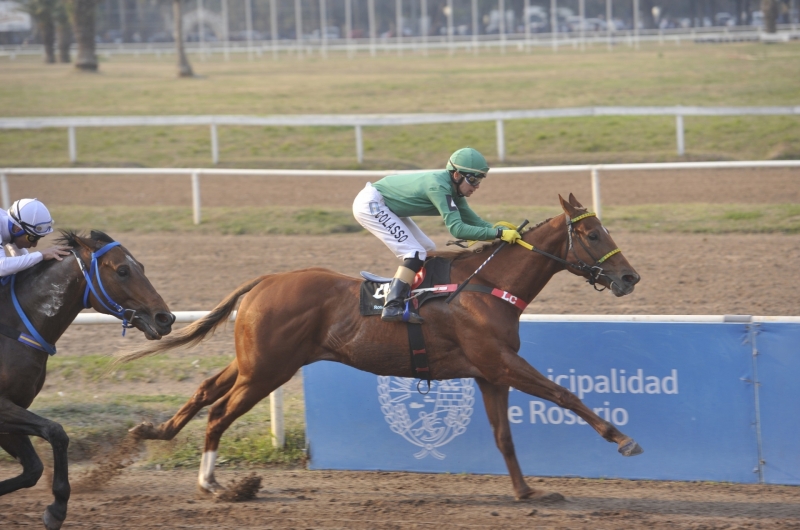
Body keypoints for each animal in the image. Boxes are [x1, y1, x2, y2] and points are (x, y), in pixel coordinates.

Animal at [0, 230, 174, 528]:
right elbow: (56, 432)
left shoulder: (11, 410)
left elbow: (34, 468)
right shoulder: (3, 408)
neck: (14, 328)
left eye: (141, 266)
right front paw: (57, 508)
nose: (165, 318)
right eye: (123, 270)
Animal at [120, 192, 644, 498]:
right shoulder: (501, 361)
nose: (630, 278)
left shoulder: (489, 373)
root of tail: (265, 280)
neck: (486, 286)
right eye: (593, 233)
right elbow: (564, 393)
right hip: (268, 369)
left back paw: (153, 431)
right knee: (219, 412)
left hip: (254, 361)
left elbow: (504, 436)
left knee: (206, 389)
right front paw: (622, 439)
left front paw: (527, 492)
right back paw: (212, 482)